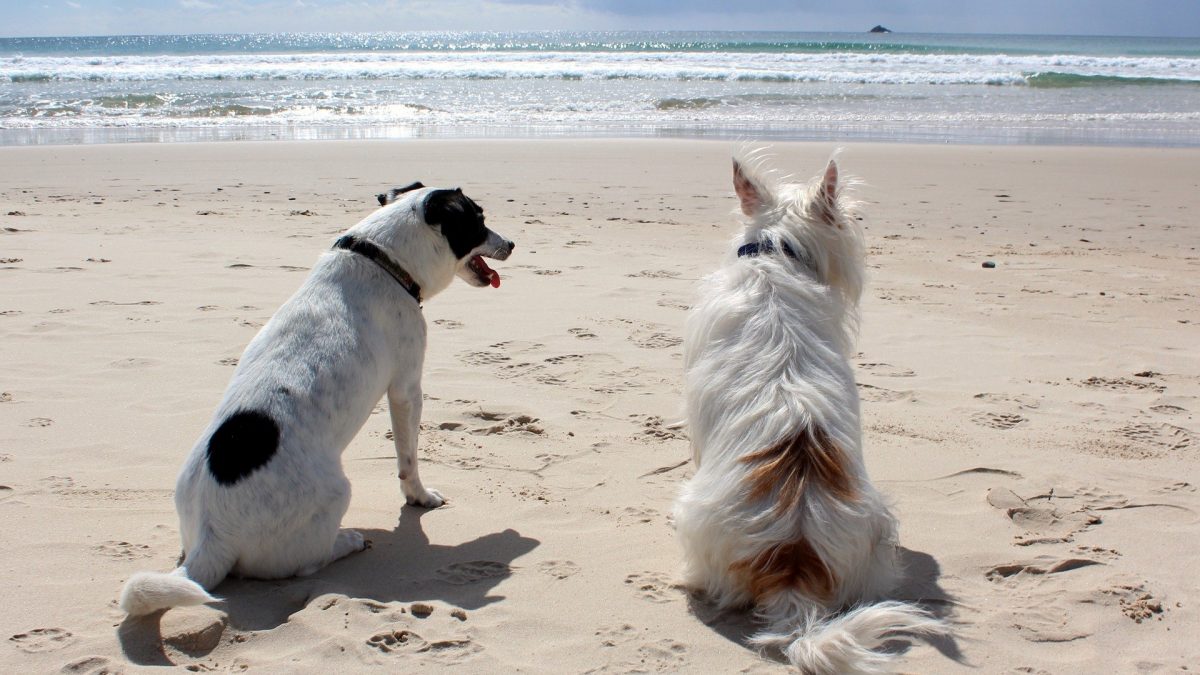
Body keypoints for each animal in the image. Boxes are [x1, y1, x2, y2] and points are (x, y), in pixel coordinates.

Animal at [119, 181, 513, 612]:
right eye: (478, 219)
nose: (511, 243)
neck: (382, 259)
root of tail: (212, 537)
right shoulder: (406, 389)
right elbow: (408, 460)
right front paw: (420, 497)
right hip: (336, 494)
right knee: (307, 563)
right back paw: (347, 541)